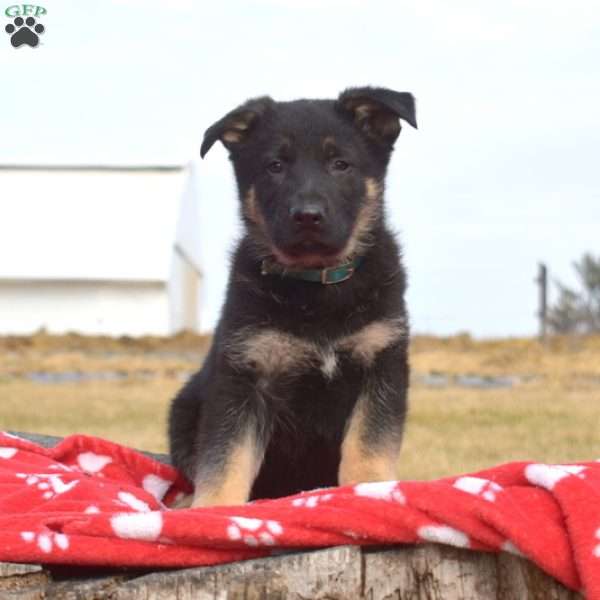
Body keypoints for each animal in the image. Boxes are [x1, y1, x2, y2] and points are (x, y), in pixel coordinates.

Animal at [166, 85, 414, 506]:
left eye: (341, 164)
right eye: (275, 166)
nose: (307, 215)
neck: (315, 285)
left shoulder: (382, 362)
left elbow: (369, 443)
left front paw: (370, 487)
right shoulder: (243, 375)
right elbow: (226, 457)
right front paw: (213, 508)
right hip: (183, 409)